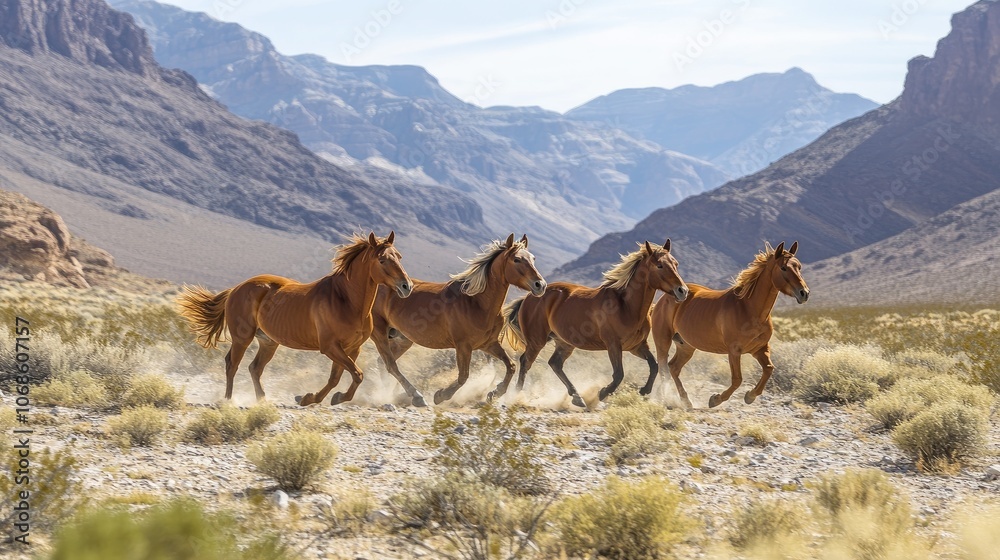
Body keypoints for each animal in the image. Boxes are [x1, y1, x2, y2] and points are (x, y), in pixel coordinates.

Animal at [176, 232, 412, 405]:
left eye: (399, 256)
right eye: (382, 260)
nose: (406, 286)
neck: (346, 301)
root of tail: (237, 288)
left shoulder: (352, 348)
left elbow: (340, 377)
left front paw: (315, 398)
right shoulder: (330, 347)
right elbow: (356, 374)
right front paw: (316, 398)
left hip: (268, 342)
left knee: (255, 368)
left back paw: (262, 400)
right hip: (242, 337)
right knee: (232, 364)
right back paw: (228, 401)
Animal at [369, 234, 546, 407]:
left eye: (533, 258)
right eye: (516, 259)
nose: (540, 285)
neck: (477, 303)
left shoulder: (488, 344)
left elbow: (511, 366)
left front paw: (495, 393)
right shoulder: (463, 346)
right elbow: (463, 376)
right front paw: (440, 395)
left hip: (403, 339)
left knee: (382, 362)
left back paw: (393, 394)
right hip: (379, 333)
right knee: (390, 364)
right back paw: (416, 397)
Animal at [496, 239, 688, 407]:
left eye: (676, 263)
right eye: (659, 265)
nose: (682, 291)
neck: (626, 306)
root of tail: (530, 295)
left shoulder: (637, 346)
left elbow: (654, 366)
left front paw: (644, 390)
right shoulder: (613, 345)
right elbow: (619, 374)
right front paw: (602, 393)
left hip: (564, 343)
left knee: (555, 363)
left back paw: (577, 398)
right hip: (537, 340)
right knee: (525, 362)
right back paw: (514, 395)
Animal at [647, 241, 809, 409]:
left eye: (798, 266)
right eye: (783, 268)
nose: (804, 293)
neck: (749, 309)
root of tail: (664, 298)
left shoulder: (760, 349)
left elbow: (769, 369)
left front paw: (750, 396)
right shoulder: (734, 351)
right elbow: (737, 380)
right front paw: (715, 399)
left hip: (686, 346)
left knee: (673, 368)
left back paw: (685, 401)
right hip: (663, 341)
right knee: (664, 367)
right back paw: (666, 399)